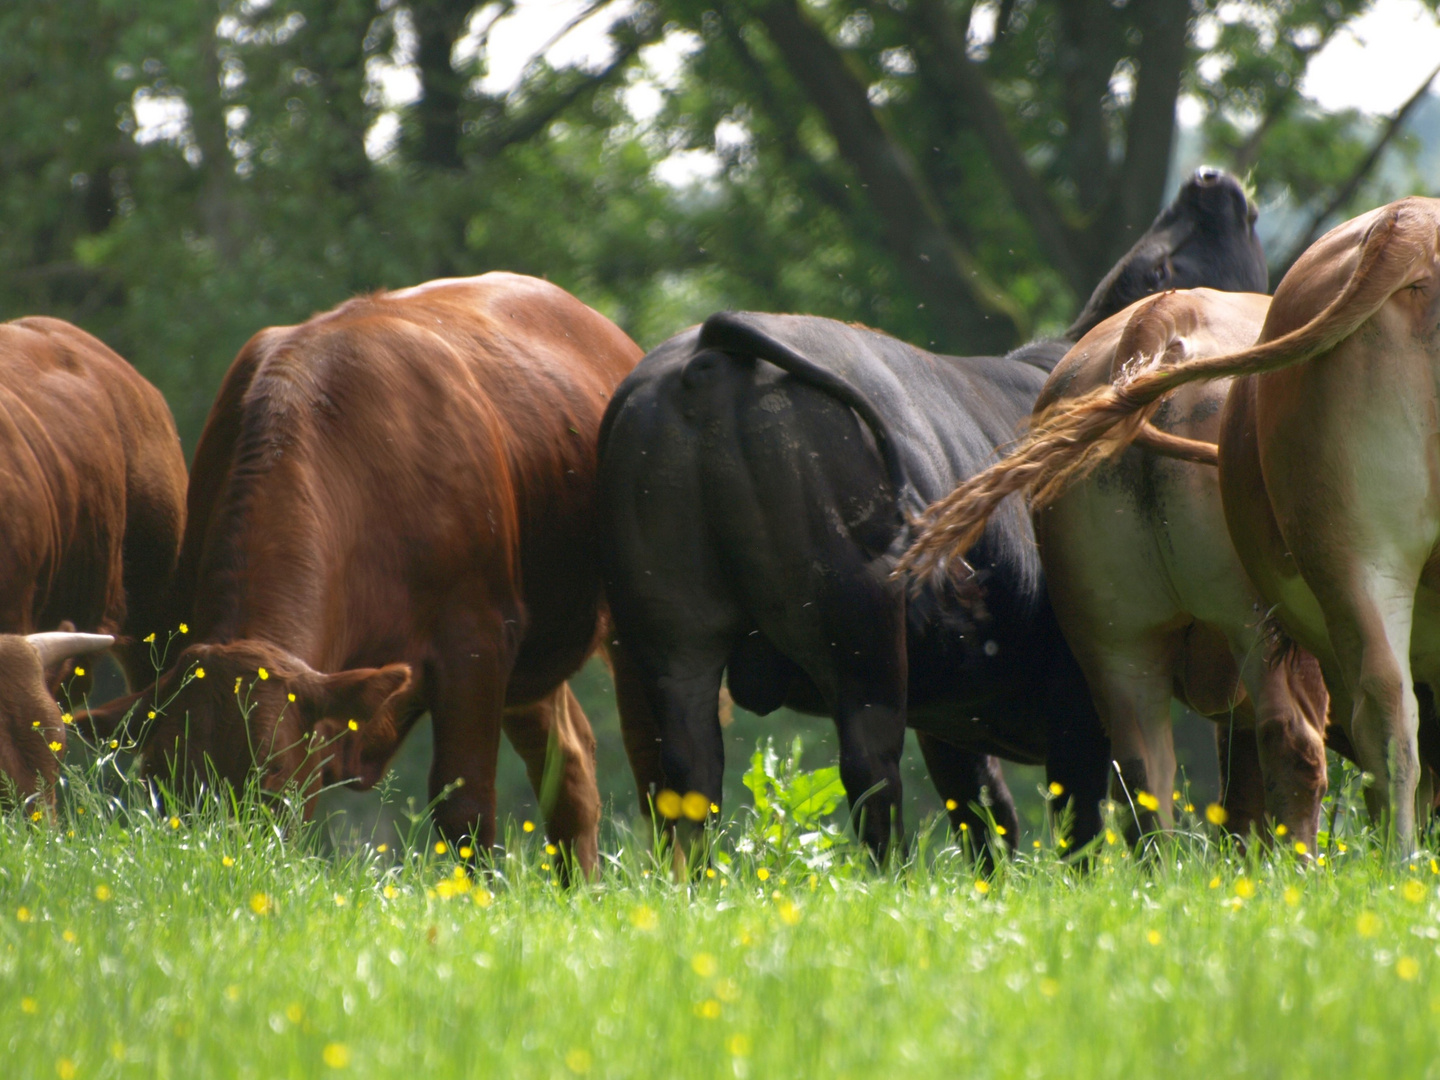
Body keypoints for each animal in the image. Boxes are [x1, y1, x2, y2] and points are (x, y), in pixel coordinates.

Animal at [81, 275, 639, 875]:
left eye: (271, 777)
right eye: (161, 784)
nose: (220, 862)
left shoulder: (477, 642)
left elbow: (465, 807)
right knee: (570, 759)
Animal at [601, 171, 1267, 864]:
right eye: (1164, 265)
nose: (1206, 179)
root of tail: (710, 348)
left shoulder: (954, 724)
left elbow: (986, 819)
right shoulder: (1080, 701)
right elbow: (1084, 818)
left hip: (675, 644)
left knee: (690, 780)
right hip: (861, 644)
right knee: (870, 777)